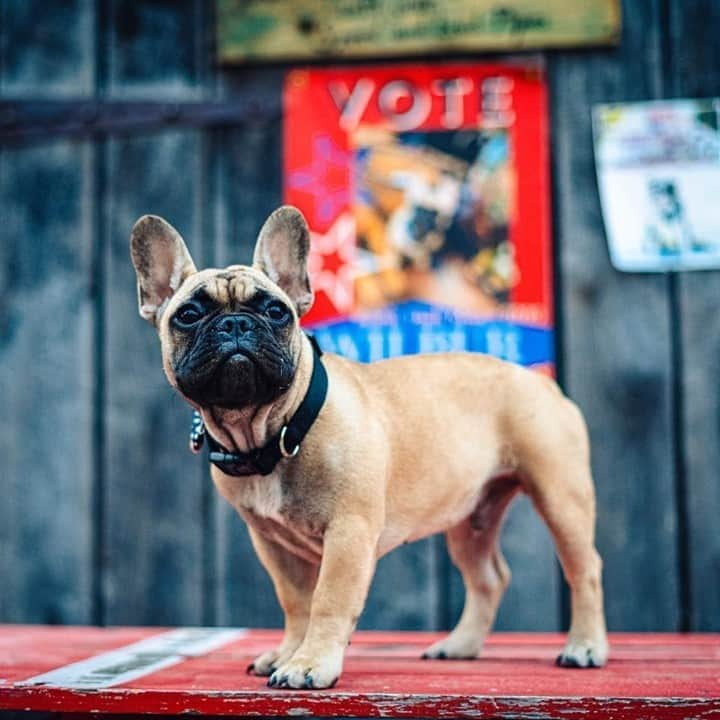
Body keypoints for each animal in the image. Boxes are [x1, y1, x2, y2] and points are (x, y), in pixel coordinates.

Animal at [131, 205, 608, 688]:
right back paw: (460, 646)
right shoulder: (274, 544)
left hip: (560, 496)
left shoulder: (348, 533)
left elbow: (327, 601)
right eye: (189, 314)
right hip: (471, 515)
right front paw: (287, 653)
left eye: (275, 311)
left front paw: (309, 664)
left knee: (584, 568)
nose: (235, 323)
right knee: (488, 578)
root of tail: (541, 380)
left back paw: (585, 647)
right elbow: (295, 603)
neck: (273, 431)